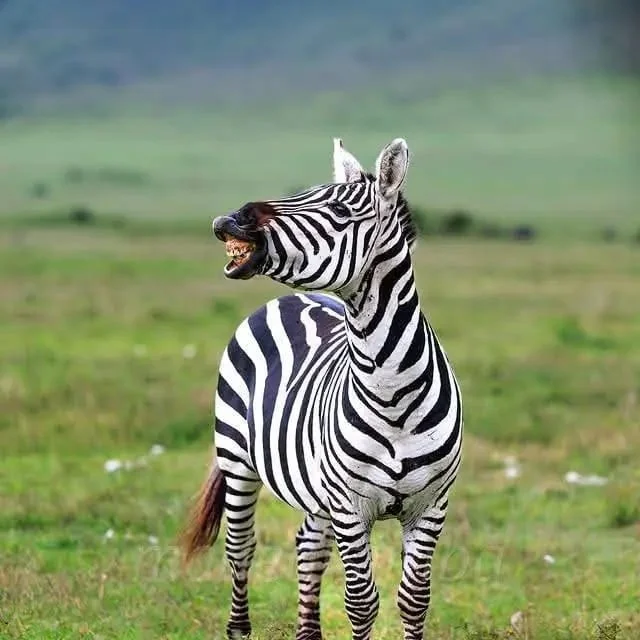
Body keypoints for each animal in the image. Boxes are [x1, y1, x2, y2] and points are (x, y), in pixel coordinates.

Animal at [181, 137, 463, 640]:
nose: (231, 219)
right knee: (240, 548)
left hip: (315, 490)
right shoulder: (350, 507)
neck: (392, 392)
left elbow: (414, 600)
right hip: (237, 460)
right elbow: (361, 603)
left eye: (337, 208)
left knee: (308, 550)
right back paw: (238, 626)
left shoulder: (431, 505)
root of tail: (297, 297)